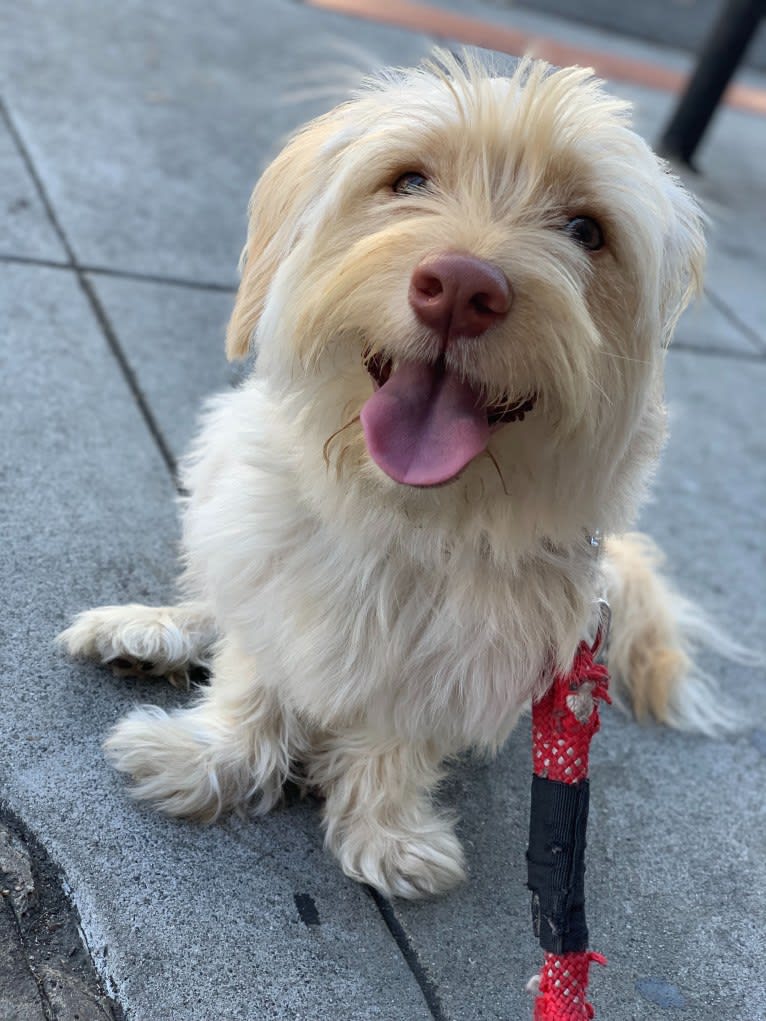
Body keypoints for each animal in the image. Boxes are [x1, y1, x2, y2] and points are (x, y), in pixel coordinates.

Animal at [61, 55, 714, 898]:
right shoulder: (273, 565)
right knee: (218, 598)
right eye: (408, 181)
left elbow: (400, 734)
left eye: (586, 231)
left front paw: (386, 828)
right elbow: (254, 667)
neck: (404, 512)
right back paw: (151, 629)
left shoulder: (469, 659)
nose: (464, 287)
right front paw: (216, 754)